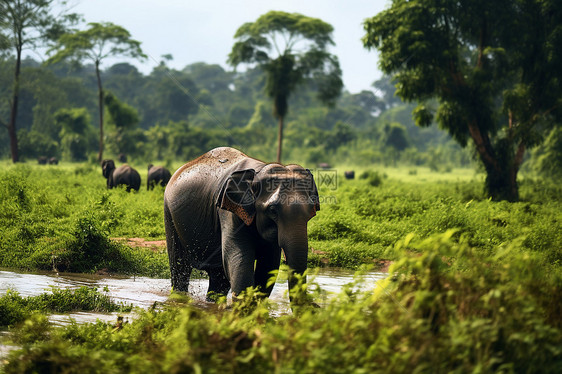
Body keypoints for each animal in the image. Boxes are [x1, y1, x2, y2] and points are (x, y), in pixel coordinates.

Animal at [163, 146, 320, 300]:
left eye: (310, 212)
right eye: (272, 210)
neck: (259, 170)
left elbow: (269, 264)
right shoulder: (228, 210)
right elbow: (238, 257)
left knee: (219, 277)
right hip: (169, 214)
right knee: (180, 267)